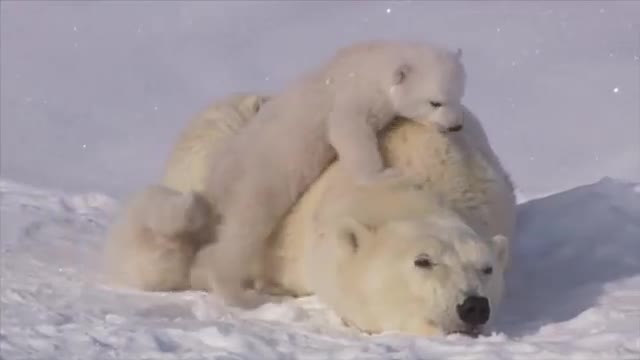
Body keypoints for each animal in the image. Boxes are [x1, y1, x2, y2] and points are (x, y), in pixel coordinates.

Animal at [206, 40, 470, 304]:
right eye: (435, 102)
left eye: (458, 95)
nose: (456, 126)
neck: (374, 62)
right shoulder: (355, 96)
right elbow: (349, 131)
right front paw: (387, 175)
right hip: (259, 179)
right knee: (243, 232)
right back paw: (237, 293)